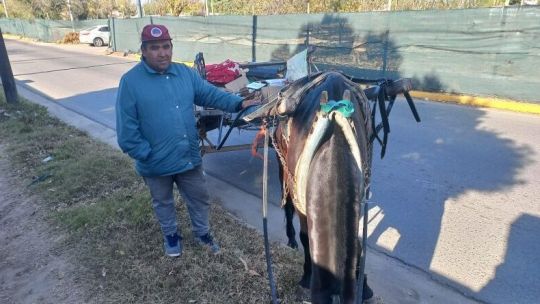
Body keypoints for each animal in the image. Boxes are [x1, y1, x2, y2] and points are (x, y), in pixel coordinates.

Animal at [274, 72, 376, 304]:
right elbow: (305, 238)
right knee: (287, 207)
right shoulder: (302, 204)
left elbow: (358, 245)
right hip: (282, 168)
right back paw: (290, 239)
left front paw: (365, 285)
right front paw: (305, 277)